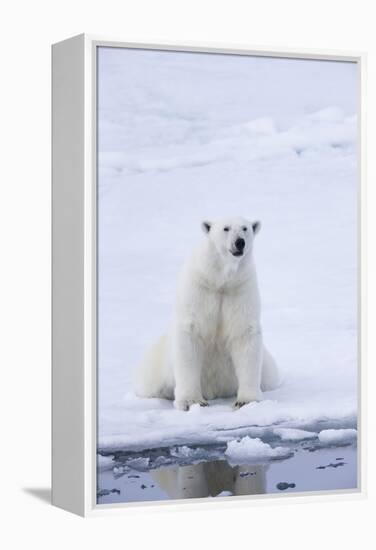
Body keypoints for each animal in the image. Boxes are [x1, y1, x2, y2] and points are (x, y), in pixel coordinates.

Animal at [136, 218, 280, 412]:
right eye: (226, 228)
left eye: (245, 228)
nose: (239, 242)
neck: (220, 280)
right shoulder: (199, 290)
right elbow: (190, 335)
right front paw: (192, 402)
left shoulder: (240, 289)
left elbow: (244, 334)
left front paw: (246, 401)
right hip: (156, 366)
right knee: (149, 383)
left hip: (267, 368)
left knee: (271, 376)